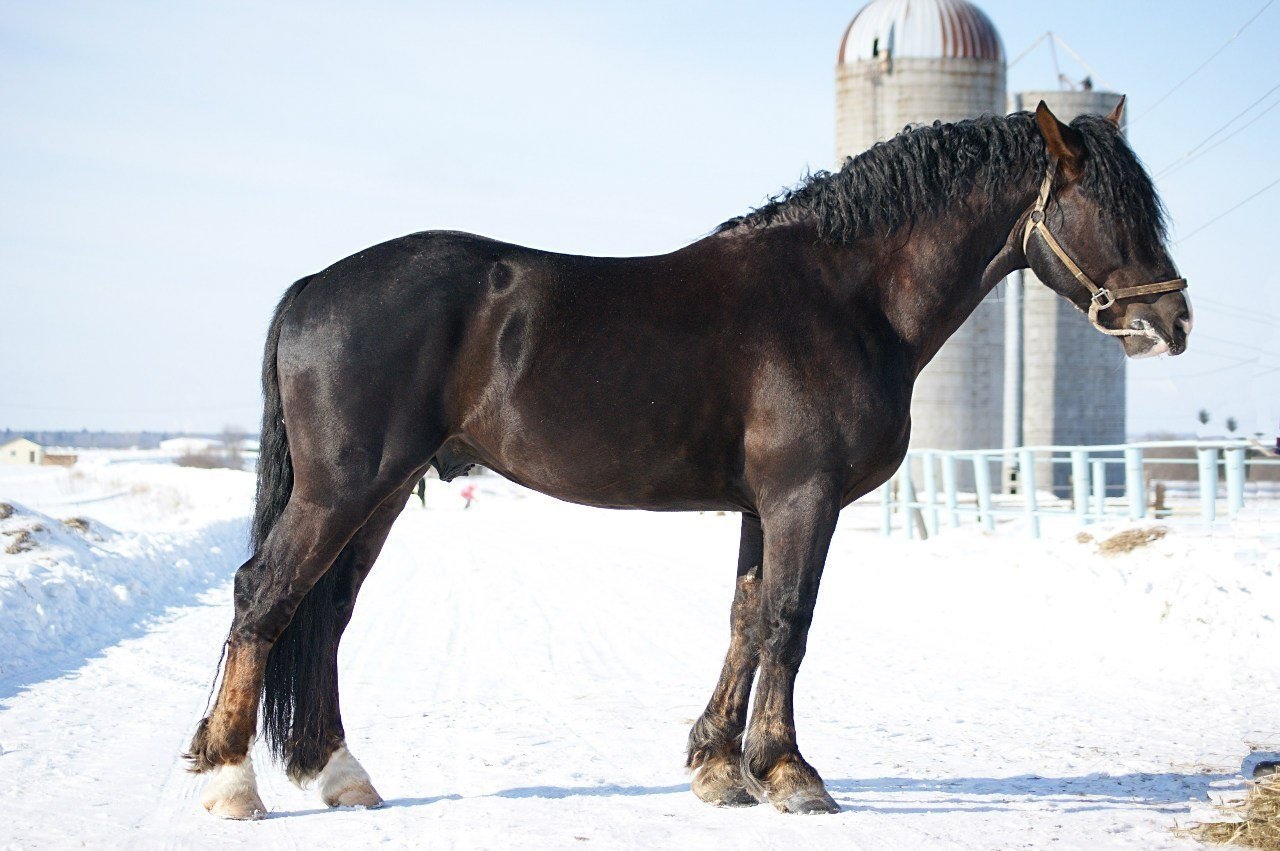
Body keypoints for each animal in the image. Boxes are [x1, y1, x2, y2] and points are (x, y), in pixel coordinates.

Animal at [183, 99, 1187, 819]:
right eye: (1111, 208)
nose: (1173, 321)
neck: (844, 295)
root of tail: (313, 286)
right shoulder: (804, 497)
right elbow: (788, 620)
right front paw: (789, 772)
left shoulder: (759, 504)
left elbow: (745, 620)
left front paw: (717, 766)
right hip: (344, 489)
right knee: (265, 598)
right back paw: (231, 781)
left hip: (383, 492)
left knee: (323, 615)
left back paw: (338, 772)